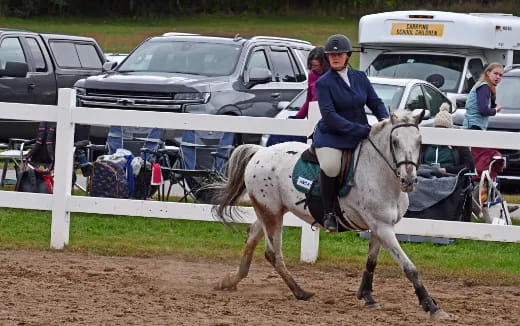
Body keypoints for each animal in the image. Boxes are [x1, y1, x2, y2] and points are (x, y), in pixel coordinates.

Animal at [209, 111, 448, 320]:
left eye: (419, 141)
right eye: (395, 142)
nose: (409, 180)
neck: (380, 174)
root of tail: (260, 152)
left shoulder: (379, 227)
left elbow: (371, 262)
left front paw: (367, 296)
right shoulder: (382, 227)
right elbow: (410, 268)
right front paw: (431, 306)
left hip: (269, 211)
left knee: (252, 238)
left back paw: (230, 281)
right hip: (271, 213)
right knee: (273, 253)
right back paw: (300, 292)